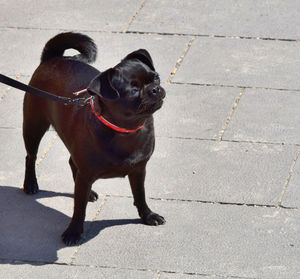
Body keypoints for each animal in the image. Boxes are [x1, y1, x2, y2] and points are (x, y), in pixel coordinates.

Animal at [23, 32, 166, 245]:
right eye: (133, 91)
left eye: (156, 78)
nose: (155, 89)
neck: (125, 130)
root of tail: (53, 58)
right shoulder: (86, 174)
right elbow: (78, 208)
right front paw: (74, 232)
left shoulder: (139, 170)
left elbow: (140, 195)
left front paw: (147, 216)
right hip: (33, 127)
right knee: (31, 157)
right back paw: (31, 184)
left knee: (72, 164)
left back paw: (88, 193)